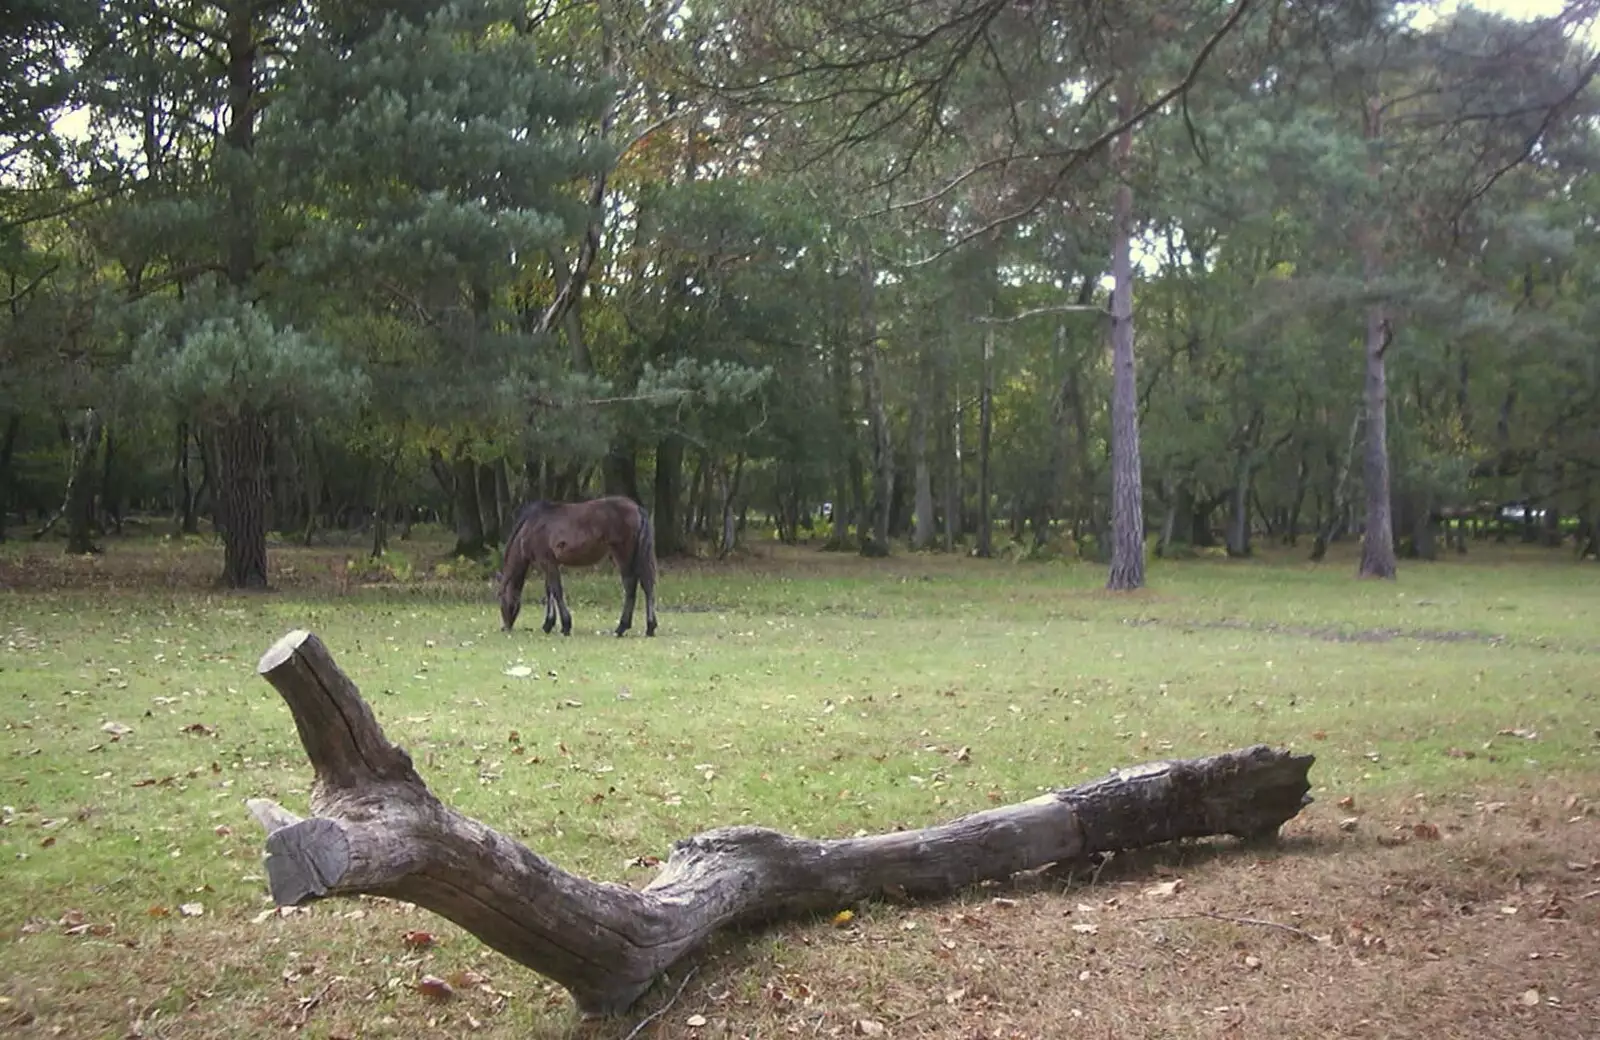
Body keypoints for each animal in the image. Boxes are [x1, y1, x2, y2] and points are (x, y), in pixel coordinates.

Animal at [492, 492, 656, 630]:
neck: (530, 527)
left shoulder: (546, 561)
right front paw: (548, 624)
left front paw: (565, 625)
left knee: (631, 585)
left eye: (500, 596)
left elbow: (556, 590)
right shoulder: (550, 563)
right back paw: (650, 627)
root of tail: (637, 508)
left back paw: (622, 627)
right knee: (647, 584)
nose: (505, 627)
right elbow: (549, 590)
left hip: (623, 555)